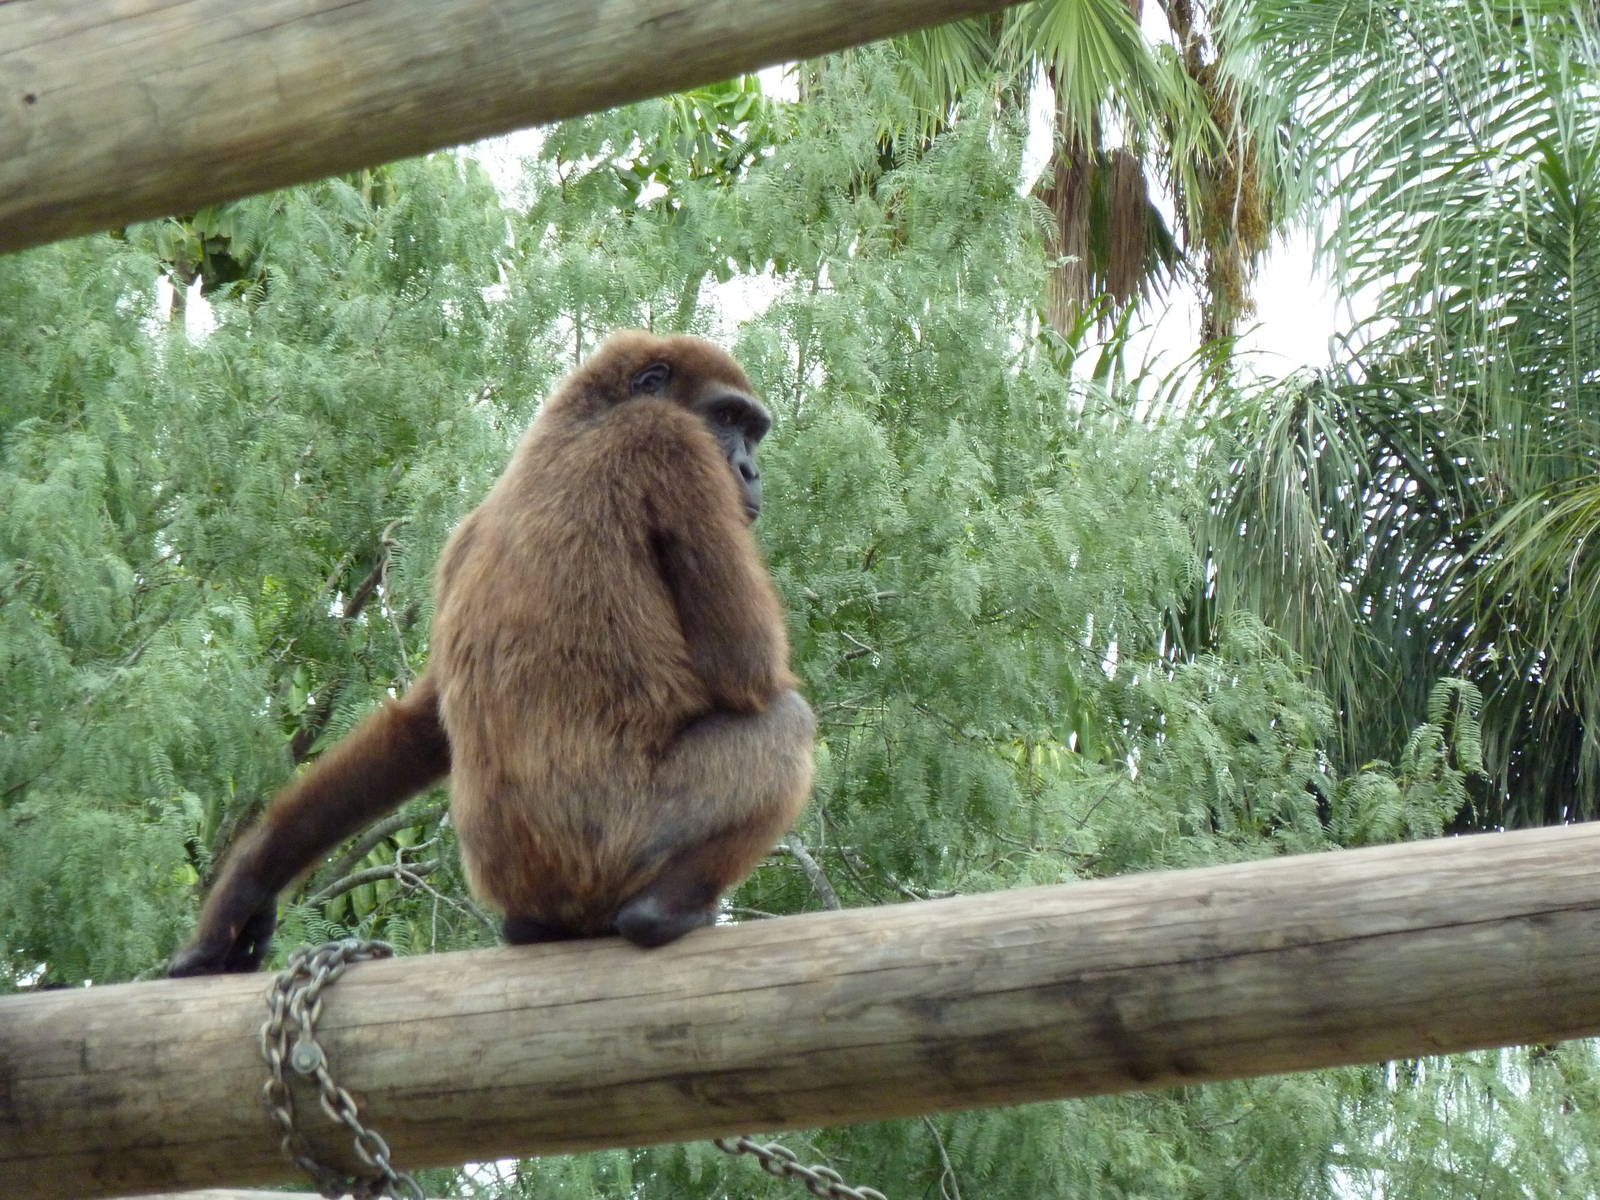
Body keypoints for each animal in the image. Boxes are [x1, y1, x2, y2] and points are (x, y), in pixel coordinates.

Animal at [168, 332, 814, 975]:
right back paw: (664, 912)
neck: (578, 418)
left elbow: (419, 727)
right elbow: (748, 671)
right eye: (727, 420)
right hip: (615, 846)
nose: (750, 470)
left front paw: (250, 882)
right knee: (785, 722)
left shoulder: (460, 535)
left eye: (753, 431)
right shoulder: (670, 441)